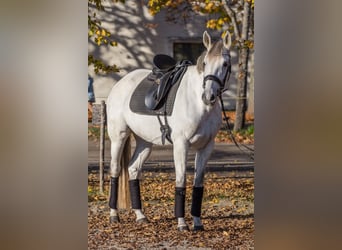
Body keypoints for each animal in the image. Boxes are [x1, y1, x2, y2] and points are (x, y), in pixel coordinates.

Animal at [106, 30, 232, 230]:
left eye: (225, 64)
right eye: (205, 63)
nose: (209, 96)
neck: (198, 103)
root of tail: (120, 83)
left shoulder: (206, 147)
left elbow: (198, 183)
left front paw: (197, 222)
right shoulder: (181, 145)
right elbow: (181, 180)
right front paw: (182, 223)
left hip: (145, 142)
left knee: (133, 169)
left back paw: (140, 215)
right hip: (119, 137)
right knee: (115, 169)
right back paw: (113, 214)